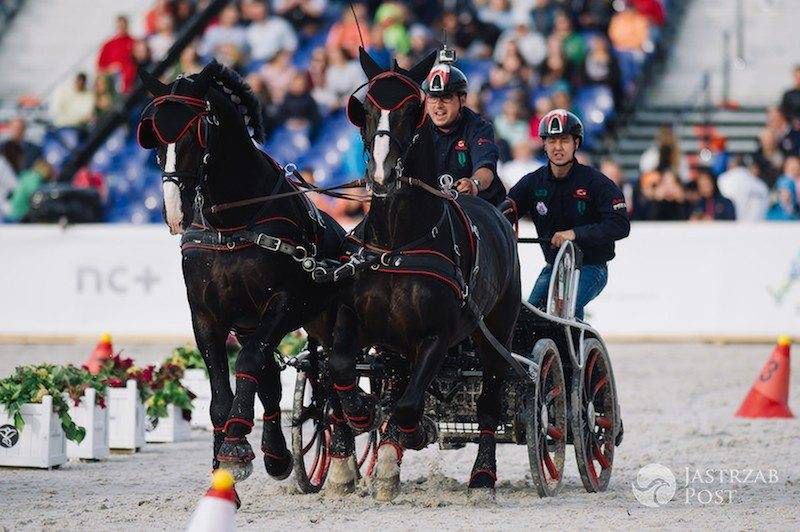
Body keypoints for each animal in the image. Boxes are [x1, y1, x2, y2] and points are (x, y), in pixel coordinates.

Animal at [138, 62, 344, 490]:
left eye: (195, 130)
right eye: (153, 136)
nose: (174, 212)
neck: (233, 222)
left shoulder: (283, 302)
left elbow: (248, 361)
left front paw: (234, 443)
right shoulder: (205, 314)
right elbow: (221, 391)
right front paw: (228, 453)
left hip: (327, 321)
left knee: (337, 380)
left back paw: (343, 450)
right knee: (276, 381)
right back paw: (280, 454)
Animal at [328, 48, 520, 498]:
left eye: (412, 111)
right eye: (364, 110)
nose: (382, 174)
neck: (399, 244)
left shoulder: (436, 336)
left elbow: (410, 405)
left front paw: (408, 438)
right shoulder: (352, 317)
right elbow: (342, 366)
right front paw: (361, 418)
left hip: (496, 331)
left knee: (489, 400)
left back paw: (482, 477)